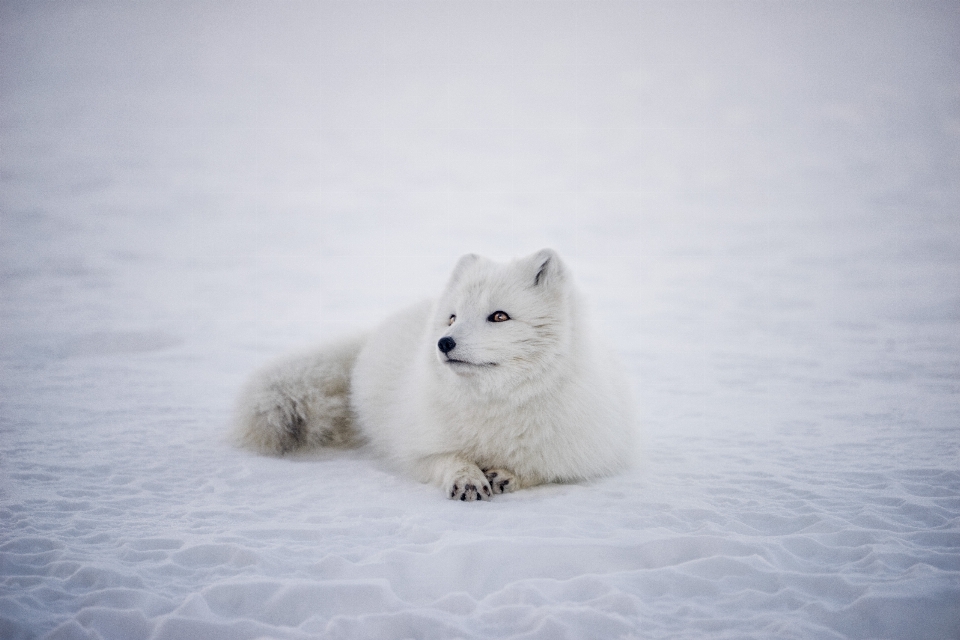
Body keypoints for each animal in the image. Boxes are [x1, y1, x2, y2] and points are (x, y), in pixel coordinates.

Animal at [235, 250, 632, 500]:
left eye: (499, 316)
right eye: (452, 317)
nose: (444, 342)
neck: (495, 404)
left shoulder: (585, 453)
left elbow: (543, 468)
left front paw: (508, 474)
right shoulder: (415, 447)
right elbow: (447, 458)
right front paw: (467, 478)